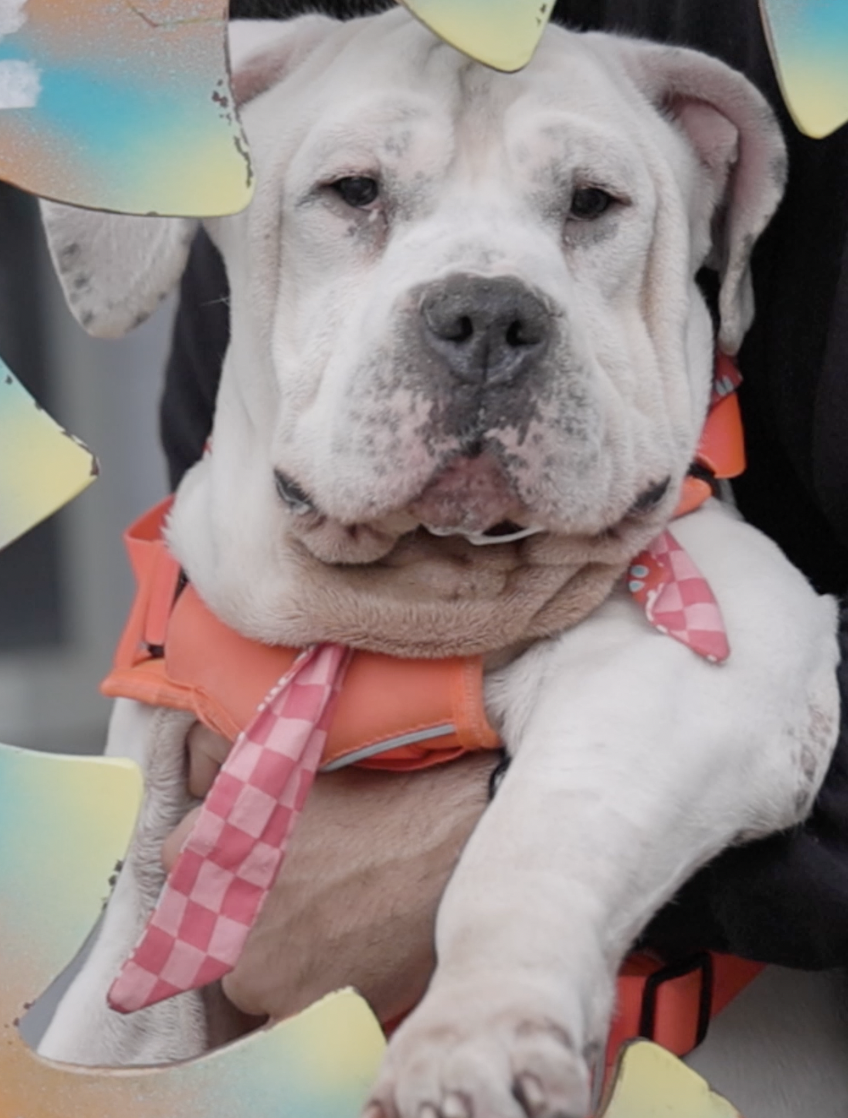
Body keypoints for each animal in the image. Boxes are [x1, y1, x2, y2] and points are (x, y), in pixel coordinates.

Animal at [34, 10, 845, 1118]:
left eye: (592, 202)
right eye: (353, 191)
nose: (489, 315)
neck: (407, 609)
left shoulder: (709, 654)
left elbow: (534, 837)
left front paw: (476, 1036)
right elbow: (122, 1005)